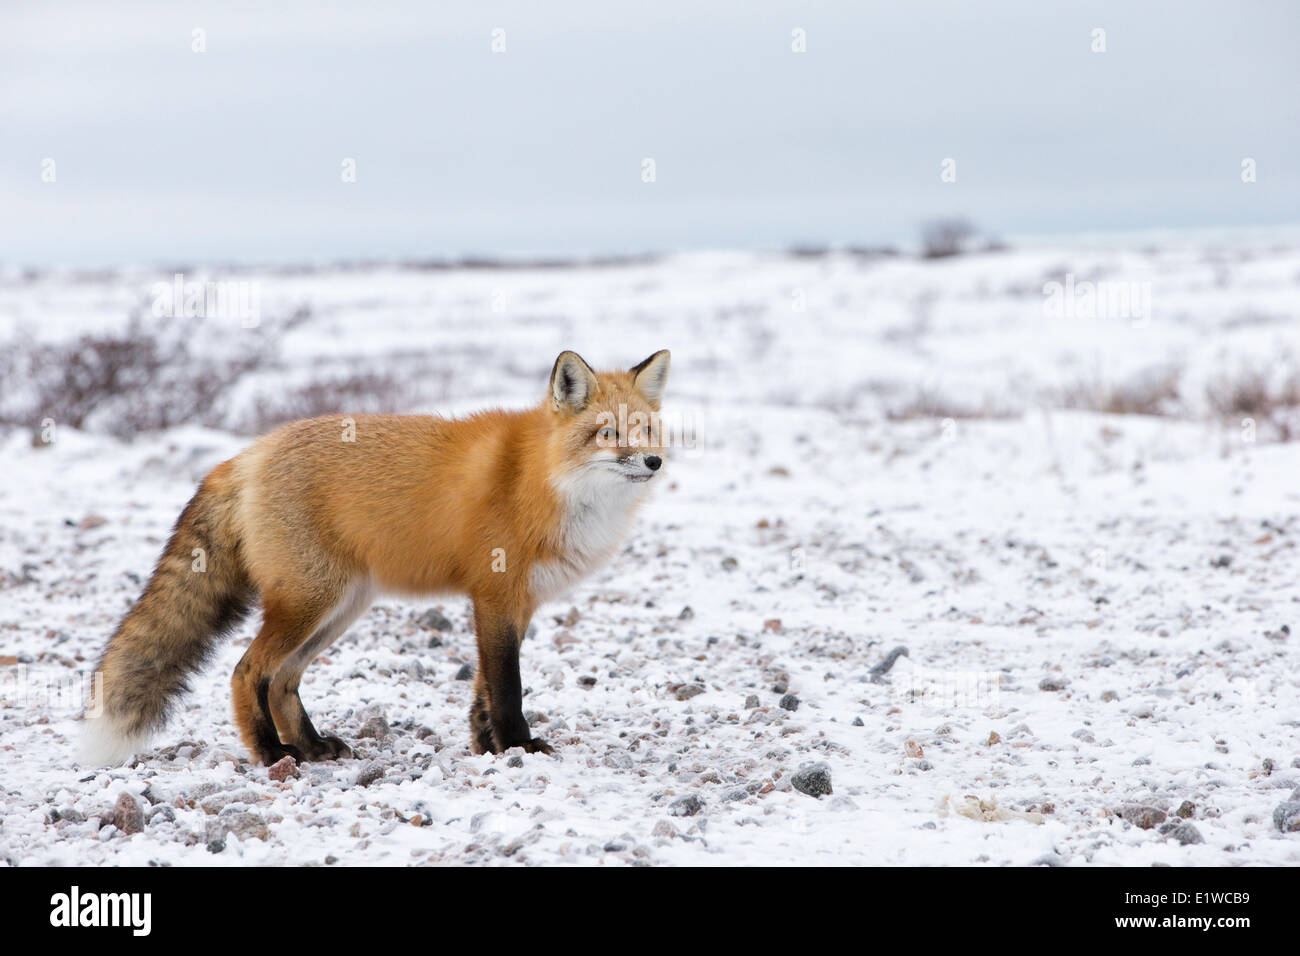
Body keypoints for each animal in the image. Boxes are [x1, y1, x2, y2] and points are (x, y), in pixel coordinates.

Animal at [81, 348, 670, 764]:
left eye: (645, 429)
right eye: (607, 432)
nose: (653, 462)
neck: (548, 482)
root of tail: (248, 453)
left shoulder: (514, 604)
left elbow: (482, 685)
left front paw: (486, 747)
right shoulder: (496, 595)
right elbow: (506, 685)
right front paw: (518, 747)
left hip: (339, 609)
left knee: (284, 681)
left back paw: (314, 747)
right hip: (309, 604)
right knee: (248, 672)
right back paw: (273, 754)